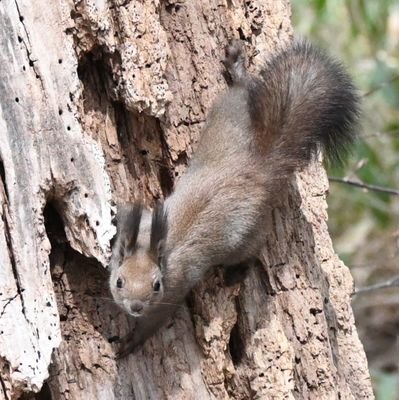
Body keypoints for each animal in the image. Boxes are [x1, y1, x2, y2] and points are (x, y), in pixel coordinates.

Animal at [109, 39, 362, 354]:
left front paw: (131, 341)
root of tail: (258, 166)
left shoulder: (173, 291)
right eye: (119, 281)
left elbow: (156, 322)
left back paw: (236, 273)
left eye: (156, 286)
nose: (135, 307)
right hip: (232, 111)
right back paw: (238, 71)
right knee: (245, 90)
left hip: (247, 233)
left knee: (253, 250)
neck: (156, 249)